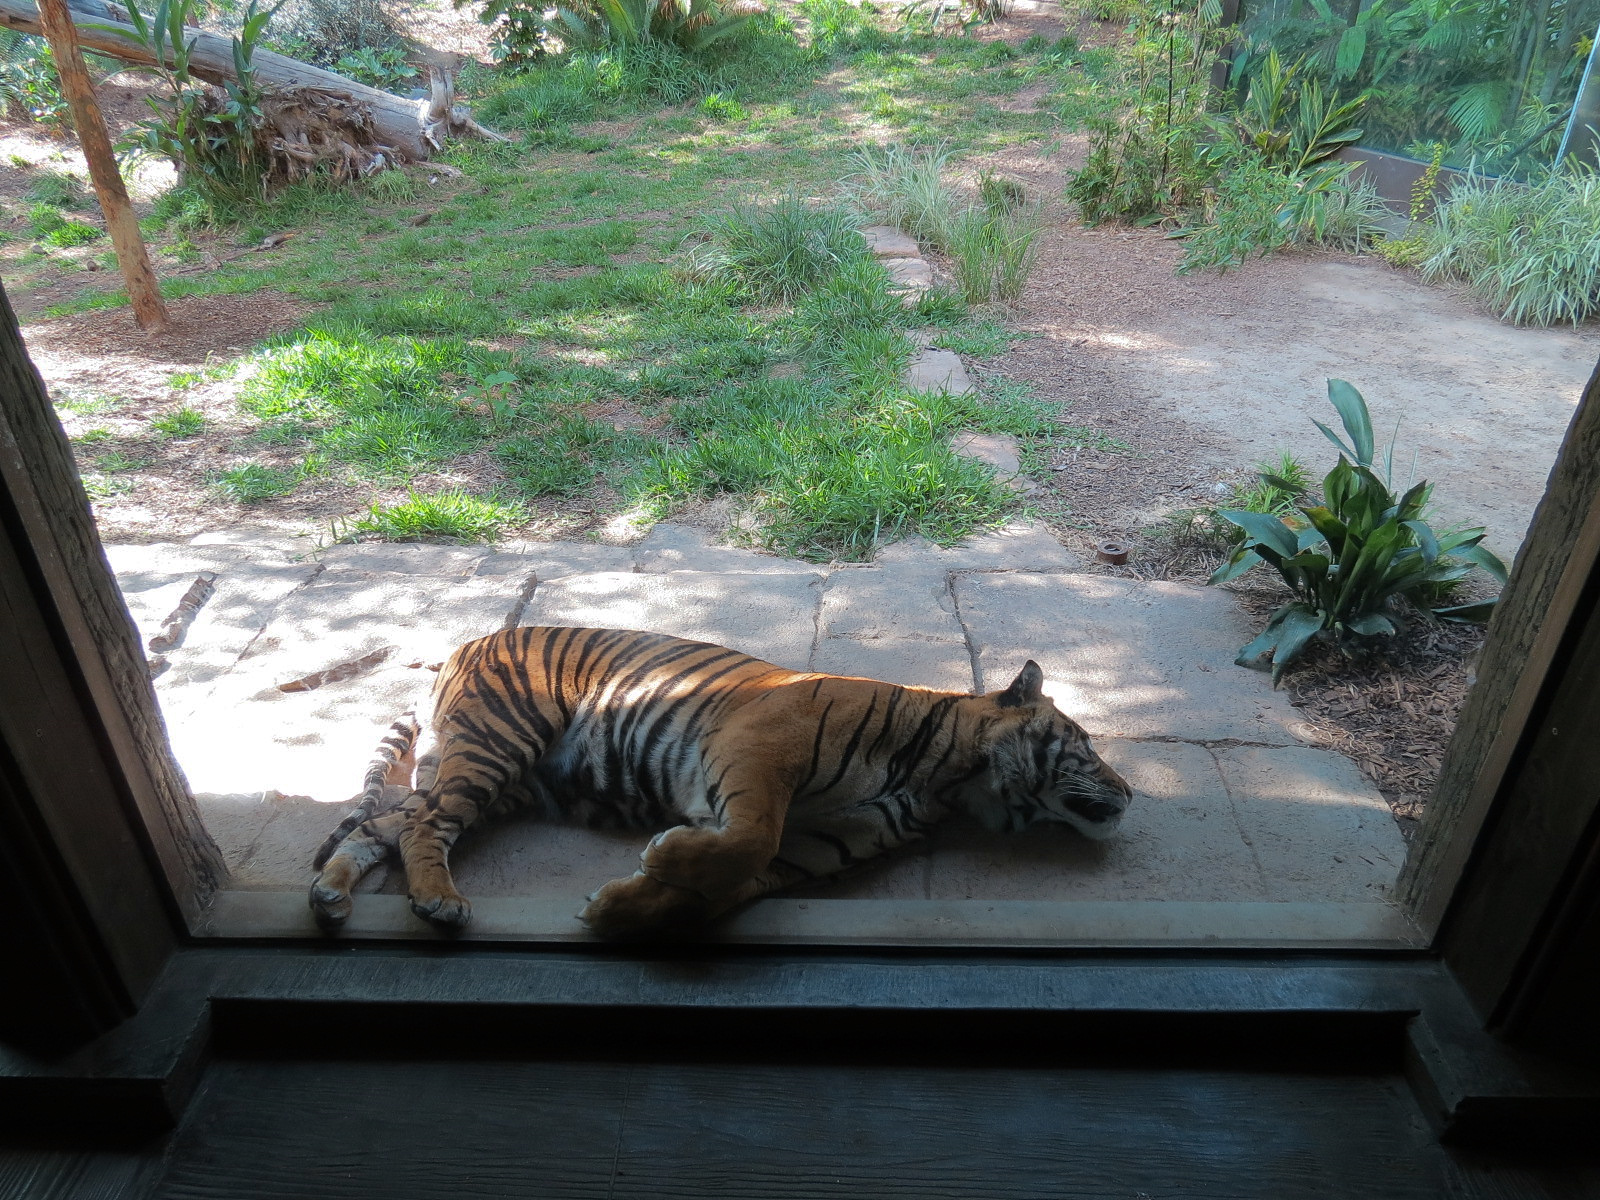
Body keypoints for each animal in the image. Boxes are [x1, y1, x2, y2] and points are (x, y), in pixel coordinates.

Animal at [309, 625, 1134, 939]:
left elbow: (725, 886)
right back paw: (439, 901)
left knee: (385, 823)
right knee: (422, 823)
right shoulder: (761, 747)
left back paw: (331, 893)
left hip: (489, 772)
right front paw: (658, 860)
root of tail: (461, 643)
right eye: (1085, 746)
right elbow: (745, 840)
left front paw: (621, 904)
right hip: (498, 742)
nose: (1129, 796)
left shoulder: (823, 844)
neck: (950, 783)